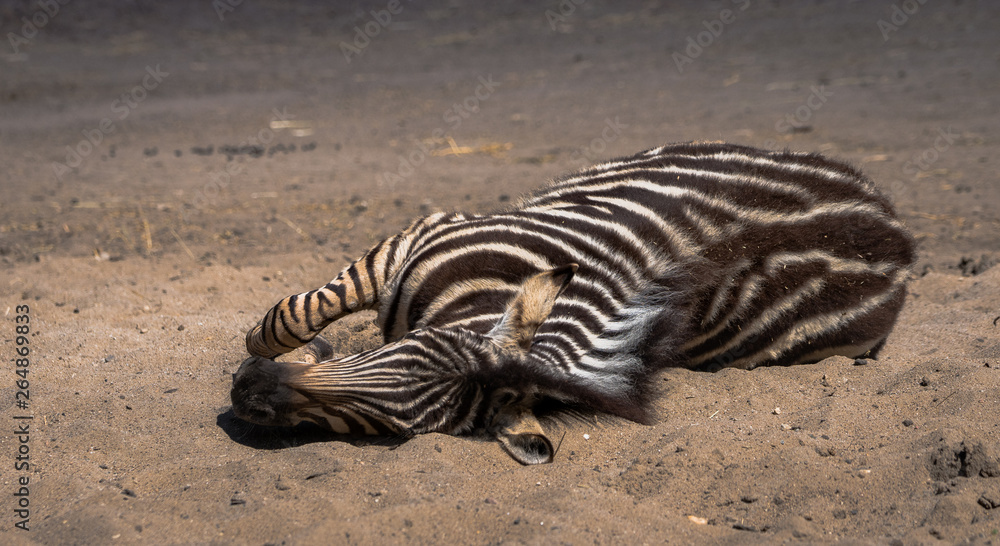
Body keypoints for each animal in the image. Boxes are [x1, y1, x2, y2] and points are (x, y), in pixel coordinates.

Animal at [231, 142, 915, 465]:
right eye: (407, 348)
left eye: (394, 430)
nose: (246, 393)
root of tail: (895, 228)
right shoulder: (421, 233)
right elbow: (298, 314)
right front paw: (270, 343)